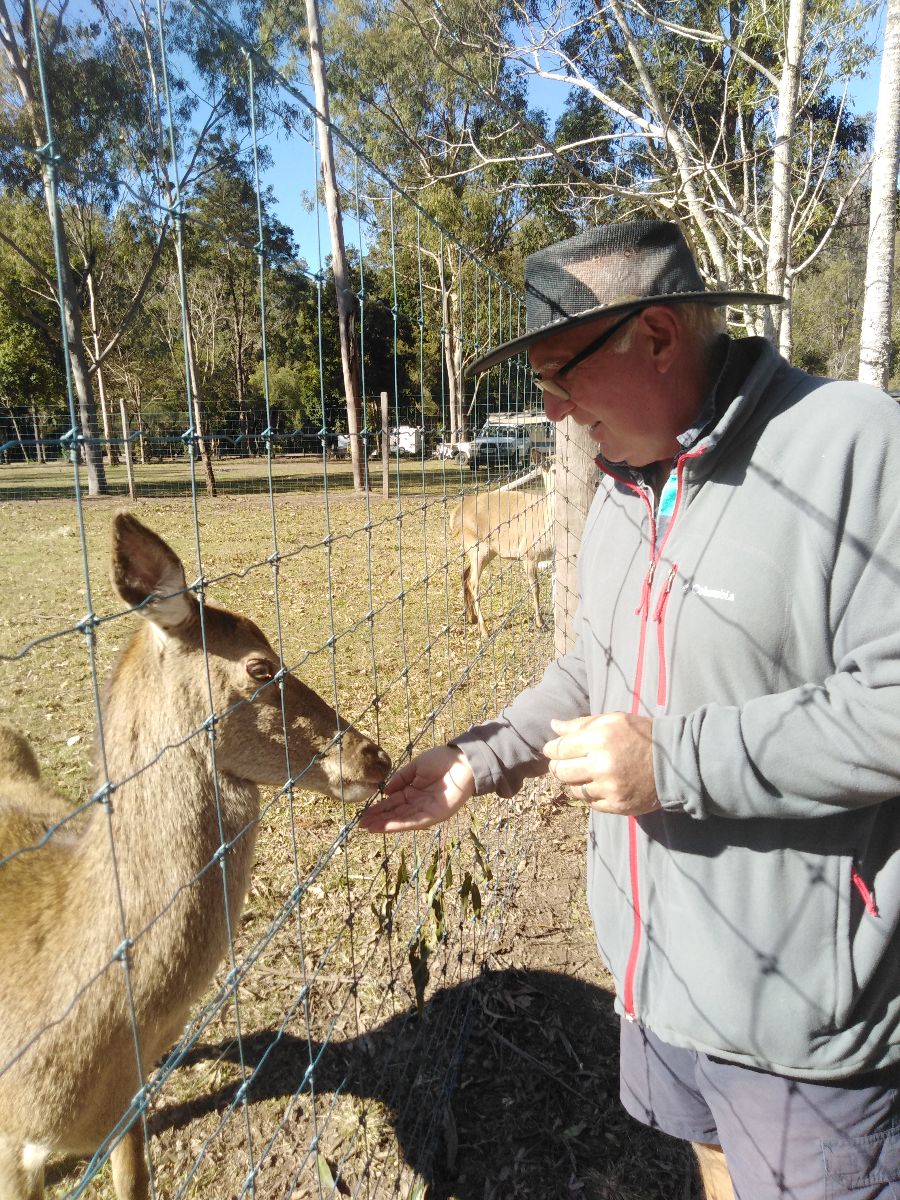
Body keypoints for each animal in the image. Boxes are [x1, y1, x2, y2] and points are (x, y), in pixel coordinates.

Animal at [451, 458, 556, 641]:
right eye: (553, 469)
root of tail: (453, 515)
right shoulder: (528, 554)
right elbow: (535, 587)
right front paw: (540, 623)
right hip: (477, 547)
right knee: (473, 582)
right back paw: (485, 631)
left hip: (484, 551)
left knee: (464, 574)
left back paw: (471, 618)